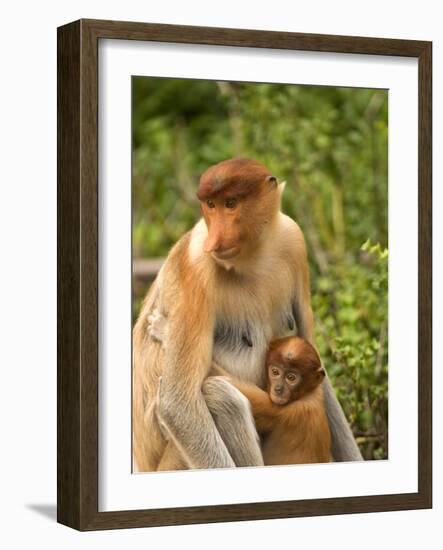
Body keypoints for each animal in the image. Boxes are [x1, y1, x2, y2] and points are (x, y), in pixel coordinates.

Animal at [134, 157, 362, 472]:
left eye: (230, 203)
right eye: (210, 205)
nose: (215, 241)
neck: (253, 256)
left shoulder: (293, 238)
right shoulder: (196, 264)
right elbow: (178, 404)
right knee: (222, 397)